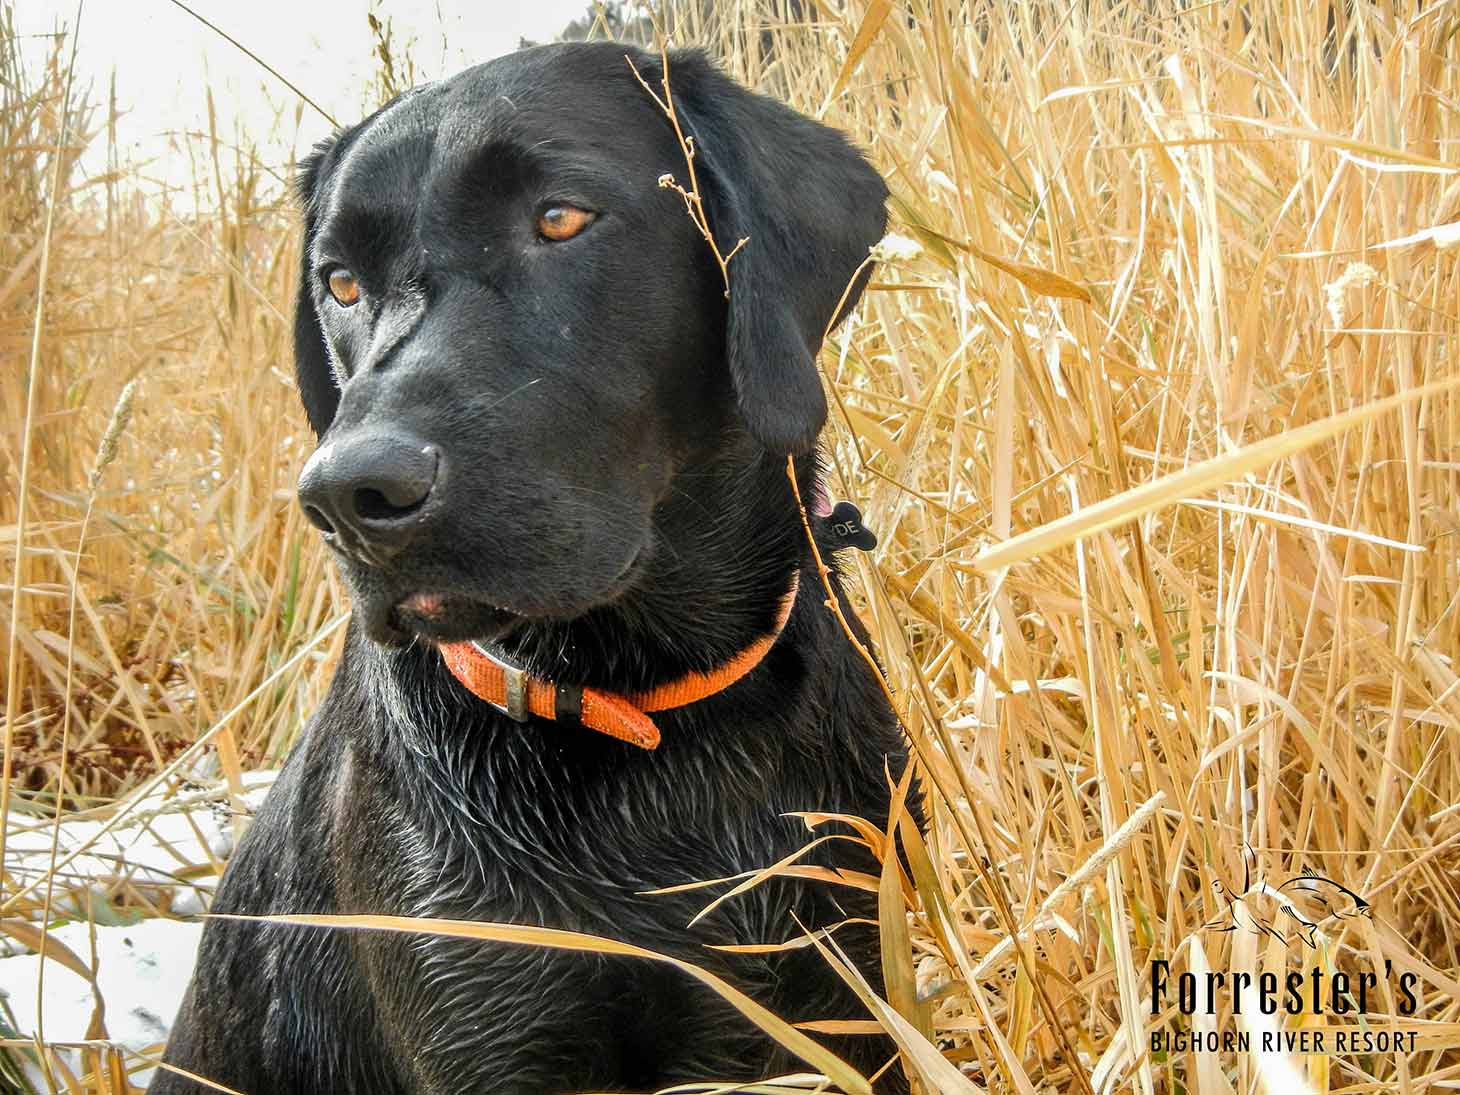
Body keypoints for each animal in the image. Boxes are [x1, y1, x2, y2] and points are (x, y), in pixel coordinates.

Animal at [156, 42, 911, 1095]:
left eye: (560, 218)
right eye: (339, 282)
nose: (349, 494)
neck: (653, 714)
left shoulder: (850, 995)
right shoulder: (493, 1028)